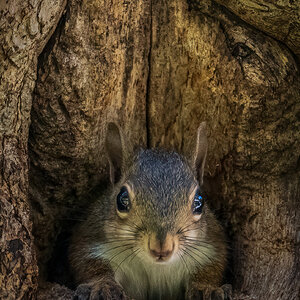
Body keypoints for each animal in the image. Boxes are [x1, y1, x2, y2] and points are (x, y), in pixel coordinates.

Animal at [69, 122, 230, 300]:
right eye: (122, 199)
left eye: (199, 202)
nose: (162, 248)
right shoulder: (92, 242)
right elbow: (91, 266)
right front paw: (103, 285)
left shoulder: (209, 249)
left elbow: (210, 270)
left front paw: (206, 288)